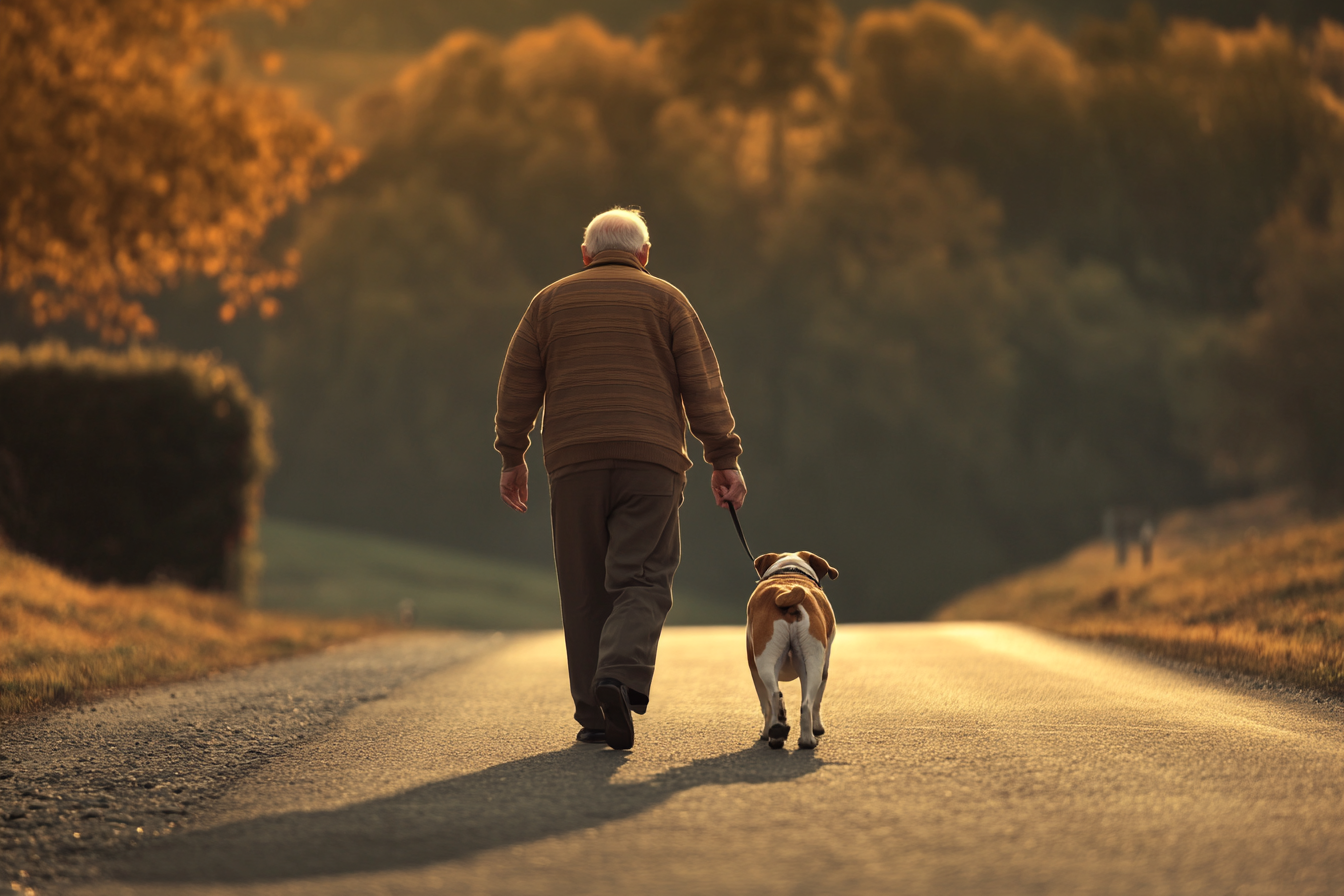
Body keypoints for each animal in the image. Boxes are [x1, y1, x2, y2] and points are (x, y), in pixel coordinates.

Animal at [747, 553, 838, 752]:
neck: (789, 572)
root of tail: (787, 594)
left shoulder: (754, 669)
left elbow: (764, 704)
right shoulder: (825, 668)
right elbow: (817, 702)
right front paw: (818, 728)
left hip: (765, 660)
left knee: (773, 698)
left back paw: (775, 734)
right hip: (812, 662)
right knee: (807, 704)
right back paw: (807, 740)